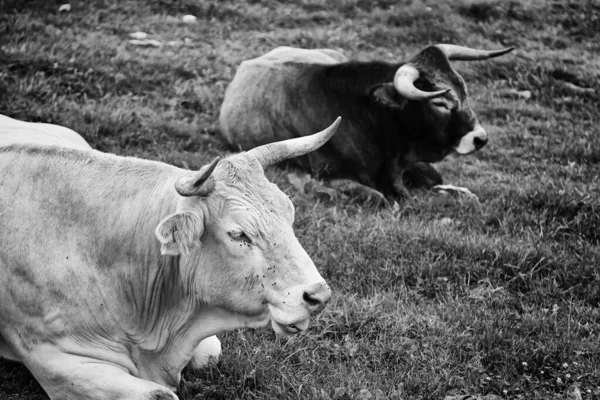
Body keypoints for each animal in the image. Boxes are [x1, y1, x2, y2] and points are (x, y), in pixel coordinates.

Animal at [0, 117, 338, 398]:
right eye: (239, 234)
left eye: (290, 214)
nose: (318, 295)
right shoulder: (56, 361)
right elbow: (158, 394)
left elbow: (210, 355)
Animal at [219, 43, 510, 203]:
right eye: (440, 103)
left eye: (462, 88)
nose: (480, 138)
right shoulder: (325, 176)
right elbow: (379, 196)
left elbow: (439, 180)